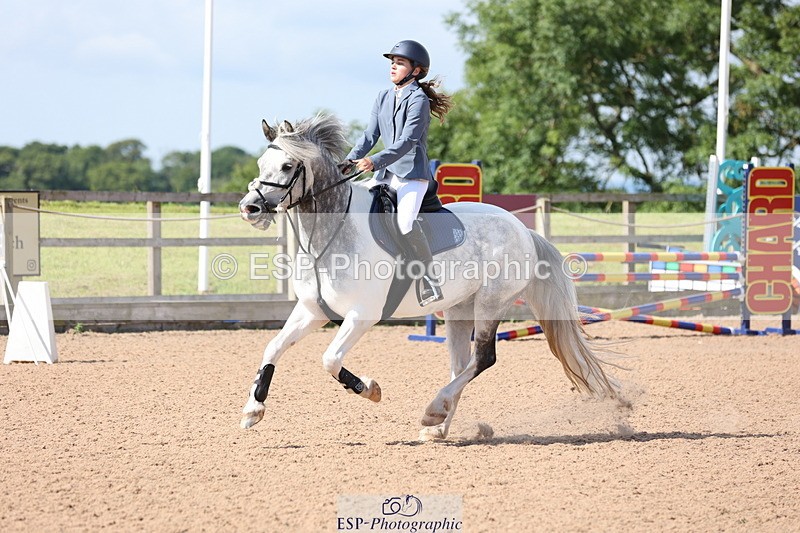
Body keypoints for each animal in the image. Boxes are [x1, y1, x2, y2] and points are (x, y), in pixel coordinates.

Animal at [237, 114, 619, 441]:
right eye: (260, 165)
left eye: (288, 166)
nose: (249, 209)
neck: (331, 233)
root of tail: (522, 229)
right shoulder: (313, 310)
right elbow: (273, 346)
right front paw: (253, 410)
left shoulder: (362, 315)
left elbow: (330, 359)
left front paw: (370, 390)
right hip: (458, 309)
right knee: (460, 365)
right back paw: (439, 424)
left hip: (491, 302)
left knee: (483, 358)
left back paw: (434, 410)